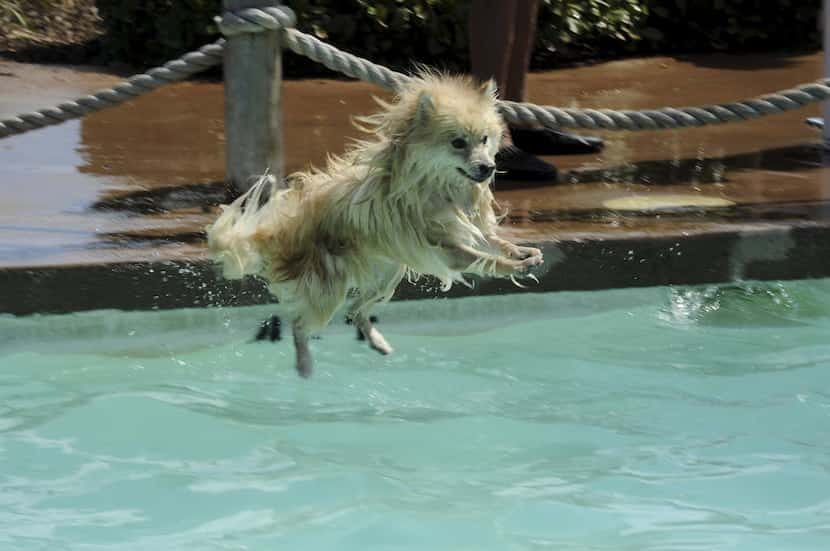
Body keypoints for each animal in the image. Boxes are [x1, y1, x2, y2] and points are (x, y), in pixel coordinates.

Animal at [208, 71, 544, 378]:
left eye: (484, 139)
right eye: (458, 143)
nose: (488, 167)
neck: (441, 186)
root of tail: (278, 234)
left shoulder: (469, 227)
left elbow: (494, 243)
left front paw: (522, 253)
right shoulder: (445, 247)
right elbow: (483, 258)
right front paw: (514, 267)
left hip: (387, 274)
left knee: (355, 311)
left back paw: (377, 342)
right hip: (328, 289)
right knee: (301, 324)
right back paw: (304, 365)